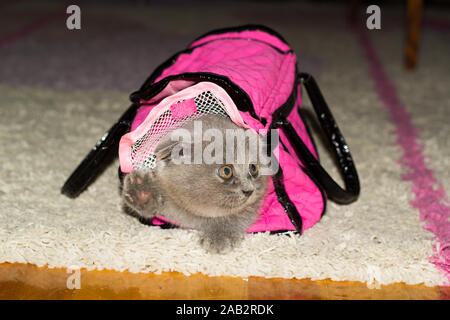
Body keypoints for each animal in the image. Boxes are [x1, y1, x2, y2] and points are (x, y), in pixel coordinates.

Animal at [121, 114, 268, 252]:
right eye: (226, 171)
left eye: (253, 168)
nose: (249, 190)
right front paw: (142, 192)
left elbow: (235, 216)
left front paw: (220, 236)